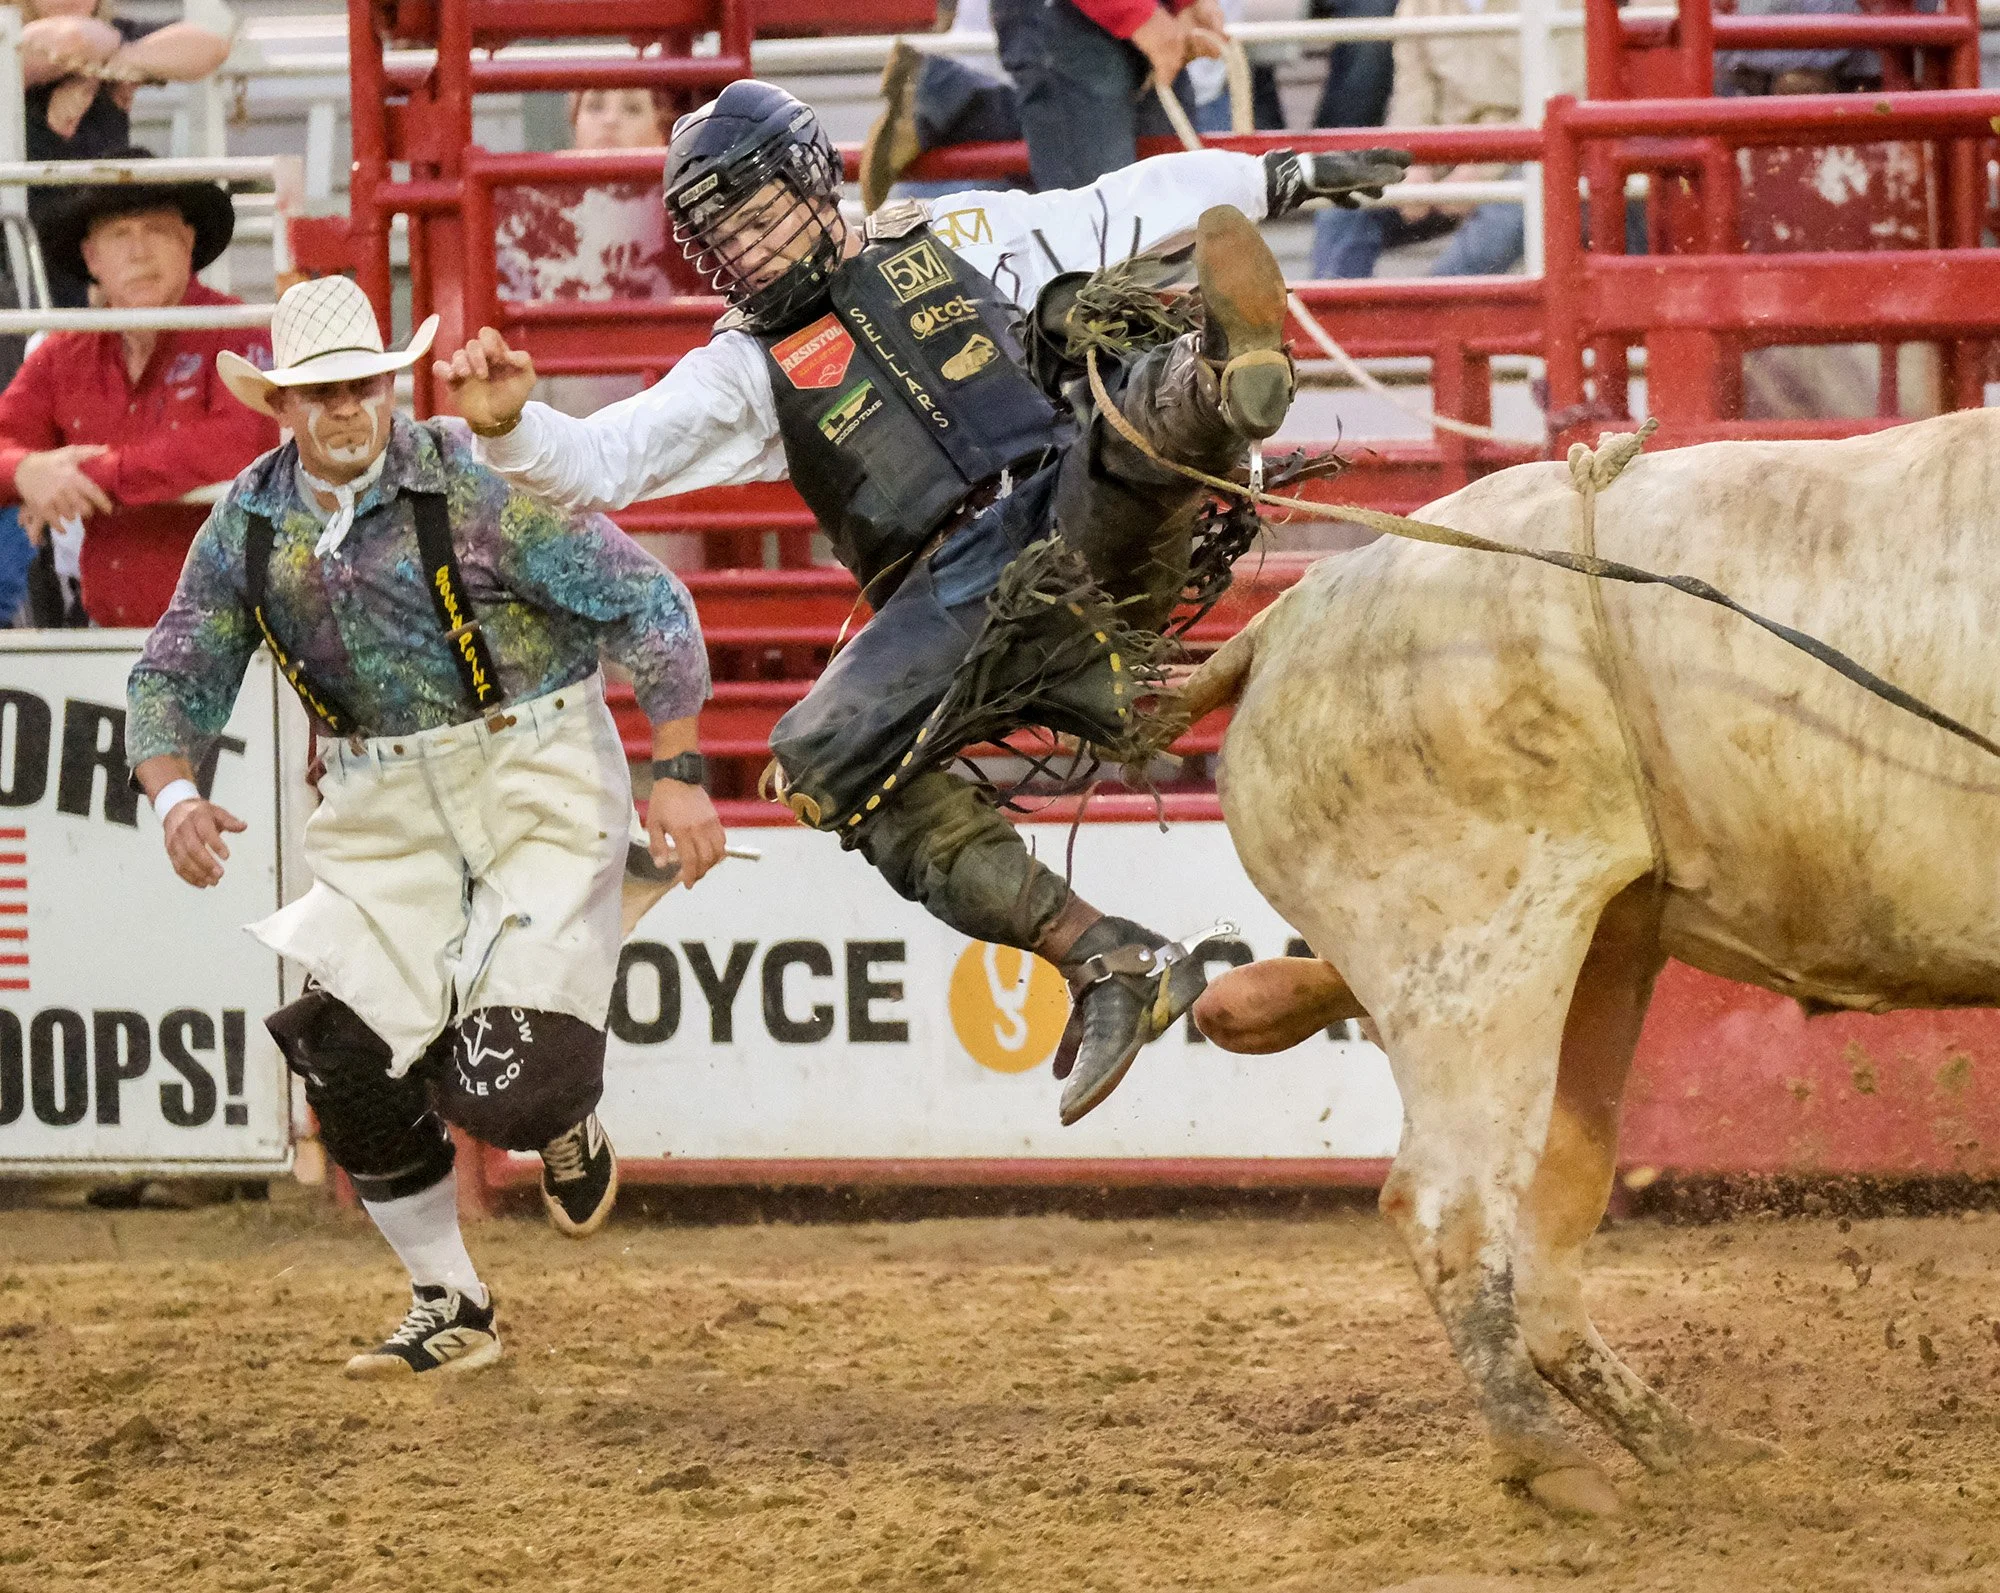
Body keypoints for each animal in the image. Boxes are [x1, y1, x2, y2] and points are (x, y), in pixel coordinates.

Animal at [1180, 408, 2000, 1515]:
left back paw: (1680, 1443)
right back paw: (1549, 1460)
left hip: (1596, 955)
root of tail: (1293, 614)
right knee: (1447, 1208)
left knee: (1541, 1237)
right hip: (1476, 964)